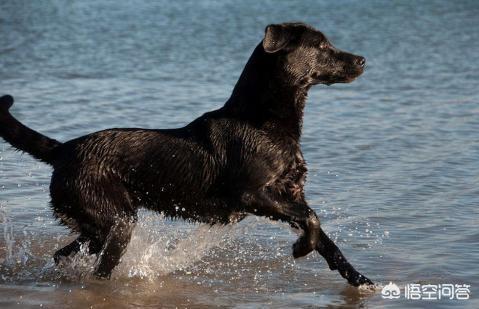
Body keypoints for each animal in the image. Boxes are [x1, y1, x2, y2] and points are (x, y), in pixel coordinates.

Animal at [0, 22, 374, 286]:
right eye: (322, 45)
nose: (362, 59)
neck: (261, 120)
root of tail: (65, 149)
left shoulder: (291, 194)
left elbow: (326, 239)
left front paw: (359, 280)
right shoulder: (252, 195)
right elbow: (312, 219)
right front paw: (300, 248)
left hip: (96, 226)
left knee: (63, 253)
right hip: (117, 223)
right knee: (100, 268)